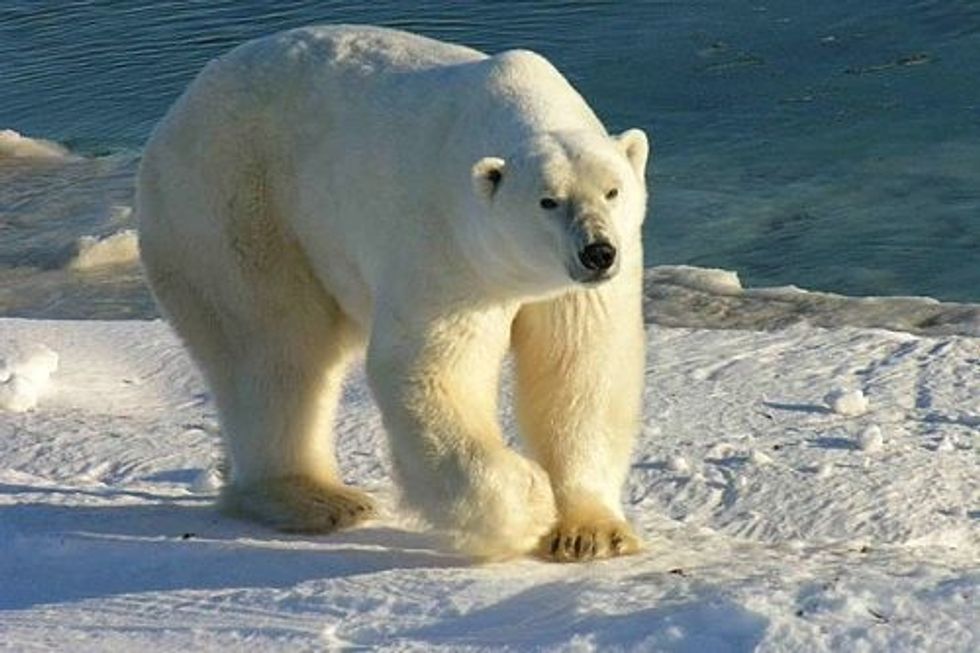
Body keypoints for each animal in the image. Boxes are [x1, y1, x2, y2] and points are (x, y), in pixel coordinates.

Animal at [136, 25, 644, 560]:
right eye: (548, 201)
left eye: (612, 191)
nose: (598, 252)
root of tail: (177, 112)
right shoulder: (448, 246)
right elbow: (432, 367)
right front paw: (529, 504)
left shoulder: (579, 288)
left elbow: (582, 368)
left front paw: (591, 533)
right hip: (234, 205)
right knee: (273, 347)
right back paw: (316, 497)